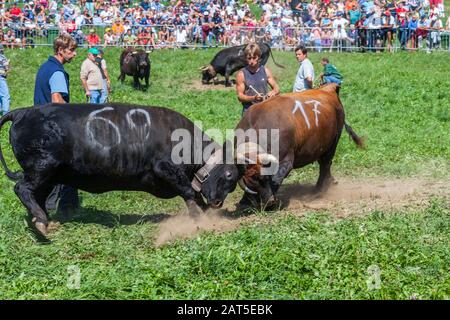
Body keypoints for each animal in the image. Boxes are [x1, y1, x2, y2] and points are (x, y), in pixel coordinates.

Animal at [0, 104, 243, 236]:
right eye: (229, 175)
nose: (218, 203)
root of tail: (23, 112)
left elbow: (192, 195)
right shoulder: (165, 168)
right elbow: (190, 192)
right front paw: (199, 217)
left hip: (50, 175)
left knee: (37, 194)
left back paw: (42, 220)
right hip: (41, 167)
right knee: (22, 188)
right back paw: (41, 220)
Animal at [234, 82, 364, 209]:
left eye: (264, 178)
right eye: (252, 182)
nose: (269, 201)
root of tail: (328, 88)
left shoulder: (286, 161)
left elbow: (276, 178)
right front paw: (245, 200)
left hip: (333, 143)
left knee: (325, 165)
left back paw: (318, 190)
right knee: (325, 164)